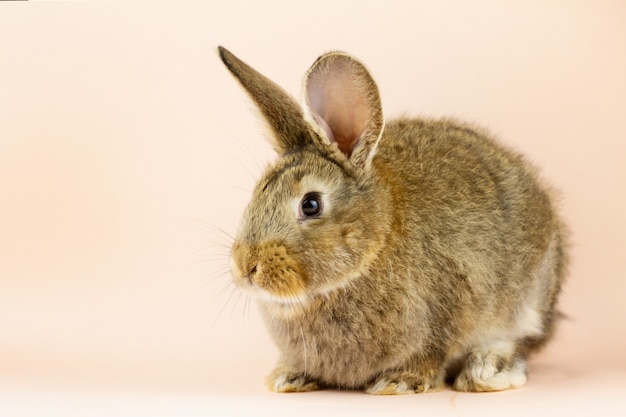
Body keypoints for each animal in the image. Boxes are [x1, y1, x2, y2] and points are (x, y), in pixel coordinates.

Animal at [219, 46, 564, 394]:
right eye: (258, 192)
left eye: (311, 204)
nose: (245, 267)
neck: (373, 249)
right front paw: (287, 377)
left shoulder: (446, 314)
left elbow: (430, 354)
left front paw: (398, 382)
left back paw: (486, 370)